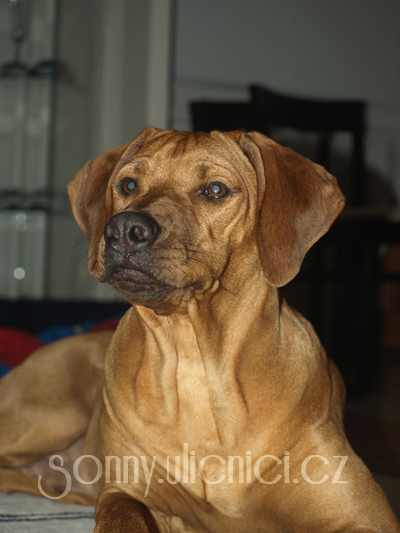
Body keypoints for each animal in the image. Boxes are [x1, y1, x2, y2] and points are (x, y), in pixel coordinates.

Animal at [0, 127, 399, 532]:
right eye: (128, 184)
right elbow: (122, 512)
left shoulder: (364, 515)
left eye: (215, 190)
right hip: (48, 416)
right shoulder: (126, 493)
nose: (124, 229)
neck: (195, 362)